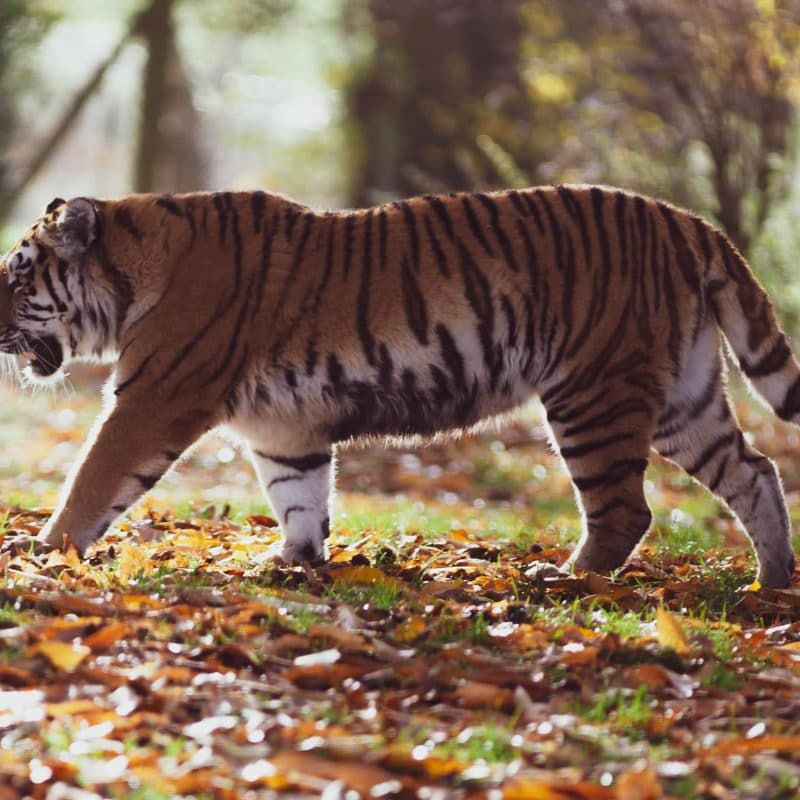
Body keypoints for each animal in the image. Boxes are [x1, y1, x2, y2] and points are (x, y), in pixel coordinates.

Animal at [0, 185, 797, 587]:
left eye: (16, 275)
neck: (132, 269)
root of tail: (689, 222)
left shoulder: (153, 398)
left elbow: (91, 479)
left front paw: (43, 552)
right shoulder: (283, 428)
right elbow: (299, 496)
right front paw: (290, 562)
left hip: (594, 392)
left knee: (626, 509)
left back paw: (566, 579)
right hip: (681, 399)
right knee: (754, 471)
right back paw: (772, 584)